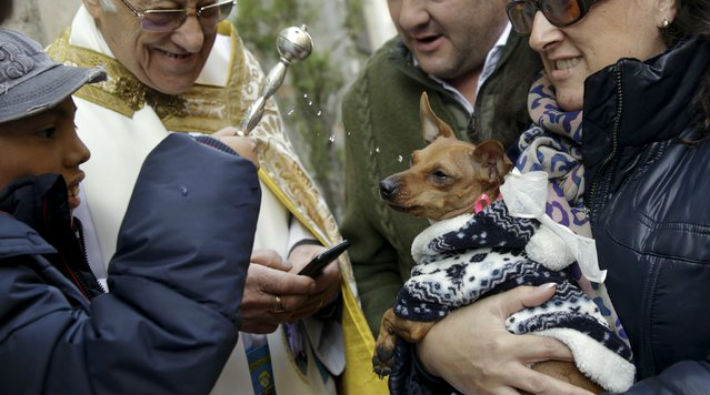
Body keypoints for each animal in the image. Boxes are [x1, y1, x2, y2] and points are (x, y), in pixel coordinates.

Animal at [376, 93, 604, 395]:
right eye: (413, 159)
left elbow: (389, 313)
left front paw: (383, 349)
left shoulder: (424, 307)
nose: (384, 186)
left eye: (440, 175)